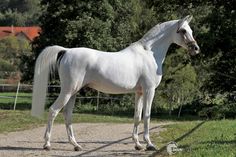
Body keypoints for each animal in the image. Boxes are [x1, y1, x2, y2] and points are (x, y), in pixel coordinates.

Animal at [30, 15, 199, 151]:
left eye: (190, 30)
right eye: (183, 31)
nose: (195, 49)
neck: (149, 53)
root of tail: (66, 51)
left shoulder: (139, 92)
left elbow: (137, 117)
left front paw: (138, 145)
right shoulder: (149, 90)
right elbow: (147, 116)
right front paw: (149, 144)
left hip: (73, 92)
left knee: (67, 115)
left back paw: (76, 145)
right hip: (67, 91)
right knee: (53, 111)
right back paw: (47, 144)